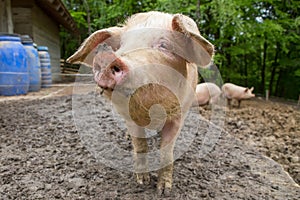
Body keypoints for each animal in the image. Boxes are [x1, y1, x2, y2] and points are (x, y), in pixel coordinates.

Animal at [67, 11, 214, 195]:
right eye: (120, 46)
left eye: (164, 45)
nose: (108, 58)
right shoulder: (129, 117)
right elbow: (140, 145)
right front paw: (142, 182)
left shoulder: (179, 114)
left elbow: (167, 151)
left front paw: (164, 191)